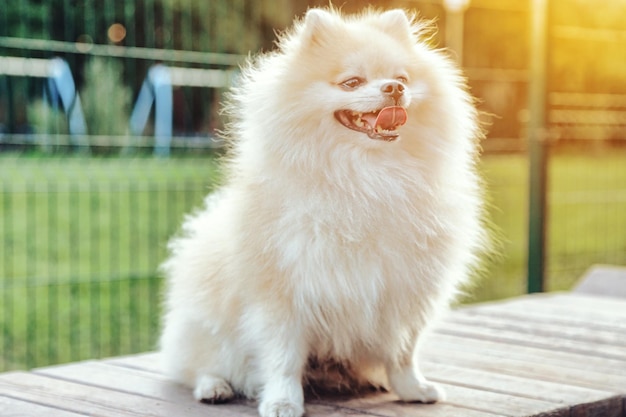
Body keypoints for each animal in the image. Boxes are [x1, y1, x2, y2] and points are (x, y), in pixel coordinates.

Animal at [158, 6, 486, 416]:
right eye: (352, 82)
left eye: (401, 79)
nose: (394, 89)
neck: (367, 177)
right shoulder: (283, 293)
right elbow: (283, 357)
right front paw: (283, 401)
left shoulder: (405, 291)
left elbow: (403, 352)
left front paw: (412, 388)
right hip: (205, 327)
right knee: (197, 366)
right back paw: (214, 387)